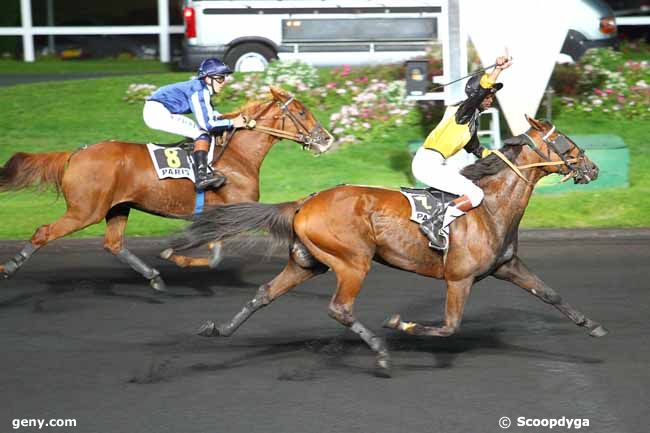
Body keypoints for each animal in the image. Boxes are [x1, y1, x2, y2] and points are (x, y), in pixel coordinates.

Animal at [0, 85, 332, 290]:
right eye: (301, 112)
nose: (326, 139)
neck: (237, 156)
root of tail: (77, 153)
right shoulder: (234, 212)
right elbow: (212, 253)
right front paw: (173, 254)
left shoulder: (221, 217)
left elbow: (215, 253)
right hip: (85, 211)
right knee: (44, 232)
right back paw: (9, 267)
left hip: (117, 208)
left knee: (114, 244)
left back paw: (154, 276)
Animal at [173, 115, 608, 378]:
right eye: (565, 142)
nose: (593, 167)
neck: (489, 207)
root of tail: (304, 201)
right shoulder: (459, 278)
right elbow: (449, 327)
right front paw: (399, 324)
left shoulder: (507, 266)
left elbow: (549, 293)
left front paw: (593, 326)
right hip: (352, 262)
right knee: (339, 308)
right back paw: (381, 351)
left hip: (307, 263)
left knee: (264, 293)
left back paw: (219, 329)